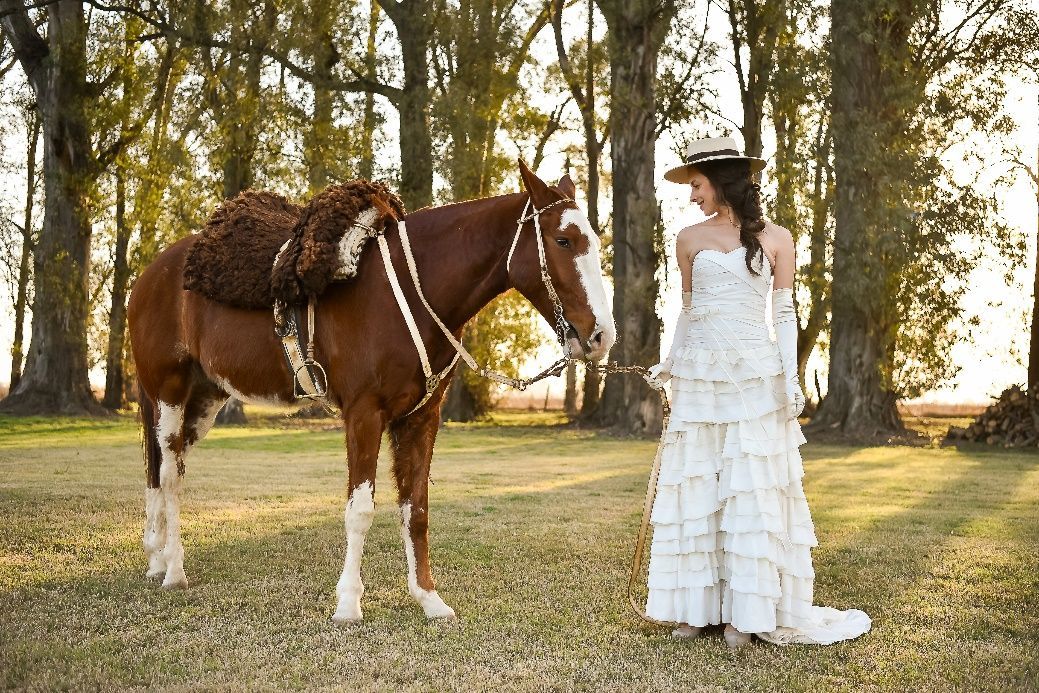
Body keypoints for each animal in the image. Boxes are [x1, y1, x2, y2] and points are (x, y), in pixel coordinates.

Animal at [127, 160, 616, 623]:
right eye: (564, 241)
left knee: (164, 468)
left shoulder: (422, 417)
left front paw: (429, 599)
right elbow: (360, 509)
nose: (600, 336)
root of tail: (149, 275)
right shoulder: (364, 414)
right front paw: (348, 604)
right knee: (168, 475)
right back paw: (173, 570)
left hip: (204, 399)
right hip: (169, 393)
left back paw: (156, 560)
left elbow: (416, 509)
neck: (410, 293)